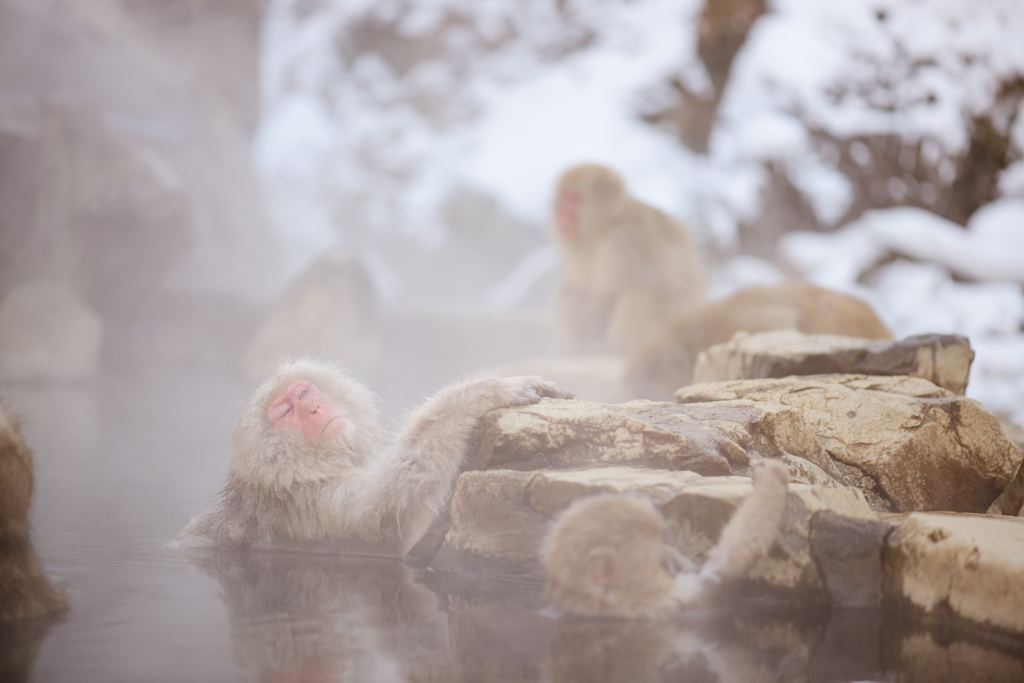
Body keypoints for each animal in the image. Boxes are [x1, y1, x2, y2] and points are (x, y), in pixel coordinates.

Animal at [179, 360, 573, 557]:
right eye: (287, 411)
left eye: (304, 393)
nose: (314, 409)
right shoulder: (312, 505)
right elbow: (389, 520)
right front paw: (481, 393)